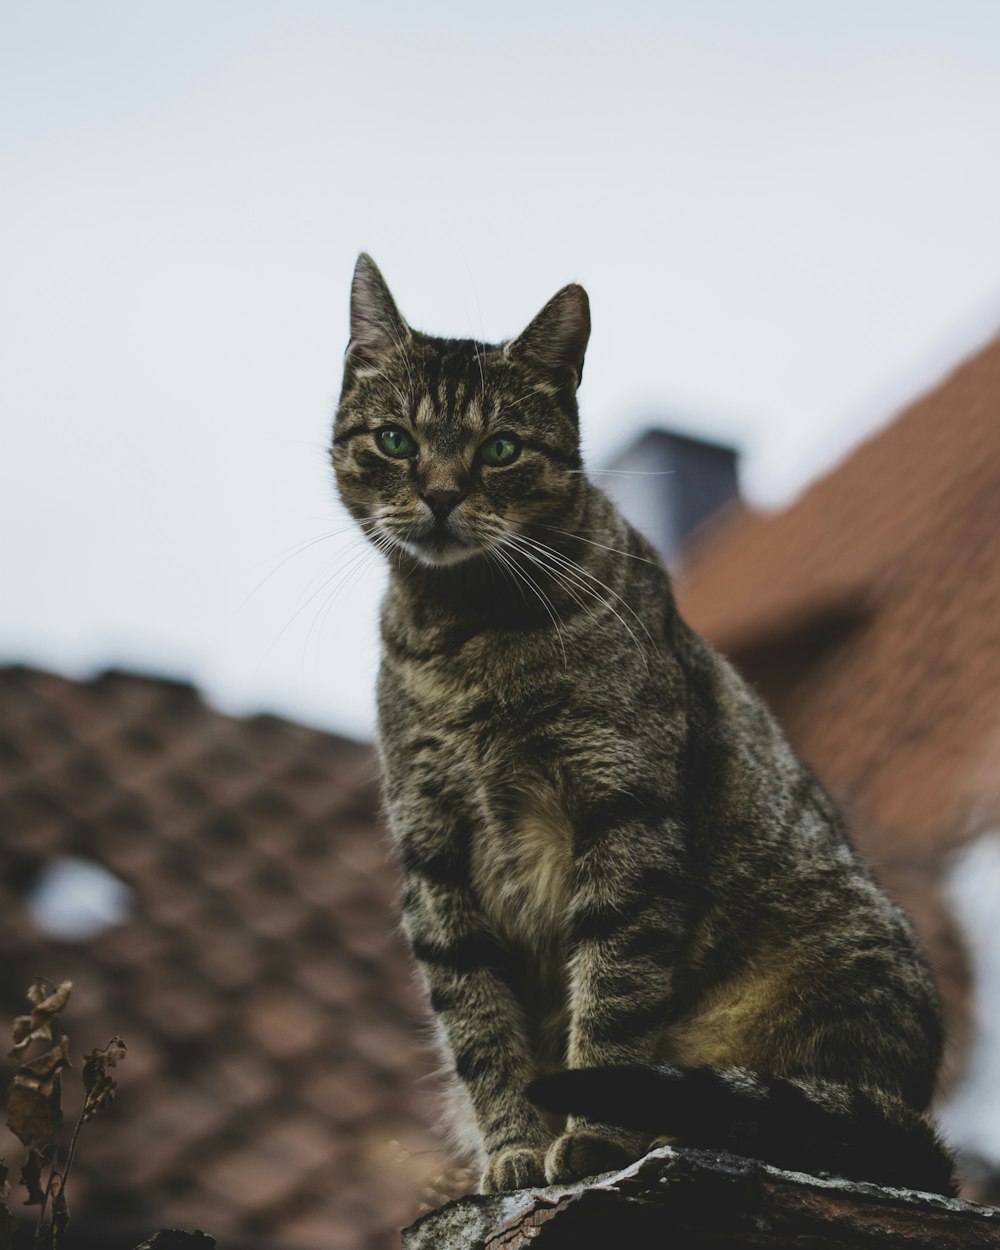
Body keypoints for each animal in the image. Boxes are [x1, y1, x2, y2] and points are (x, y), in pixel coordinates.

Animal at [332, 248, 955, 1195]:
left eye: (501, 448)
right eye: (396, 439)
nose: (439, 496)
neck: (465, 631)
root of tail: (917, 1116)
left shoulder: (623, 814)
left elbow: (612, 998)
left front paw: (592, 1135)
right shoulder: (435, 855)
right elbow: (480, 1030)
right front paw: (512, 1150)